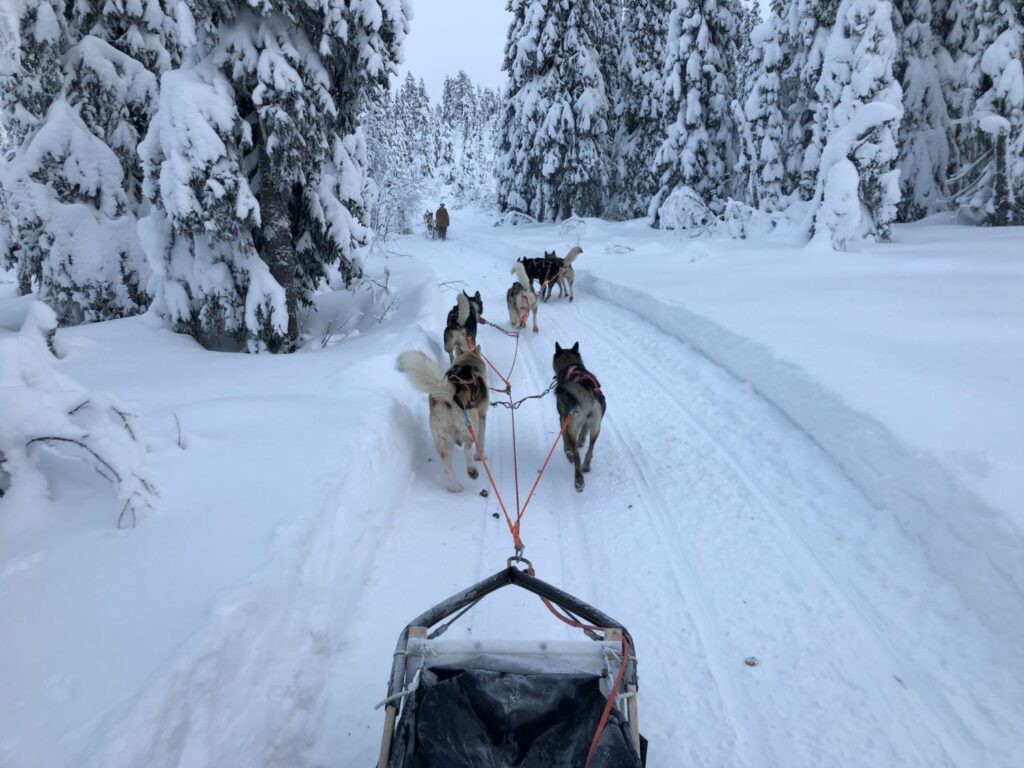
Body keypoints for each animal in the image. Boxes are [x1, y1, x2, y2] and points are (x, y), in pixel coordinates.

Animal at [395, 348, 487, 493]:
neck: (468, 361)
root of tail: (450, 396)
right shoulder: (482, 416)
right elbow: (481, 441)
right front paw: (480, 456)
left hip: (443, 441)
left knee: (447, 468)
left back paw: (454, 487)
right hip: (471, 425)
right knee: (467, 448)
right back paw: (472, 470)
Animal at [557, 342, 602, 493]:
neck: (572, 365)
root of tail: (589, 394)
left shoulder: (562, 418)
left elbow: (564, 439)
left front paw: (567, 451)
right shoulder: (587, 423)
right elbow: (584, 432)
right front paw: (581, 440)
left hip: (571, 425)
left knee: (577, 455)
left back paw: (579, 480)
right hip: (596, 427)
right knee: (590, 449)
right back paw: (586, 466)